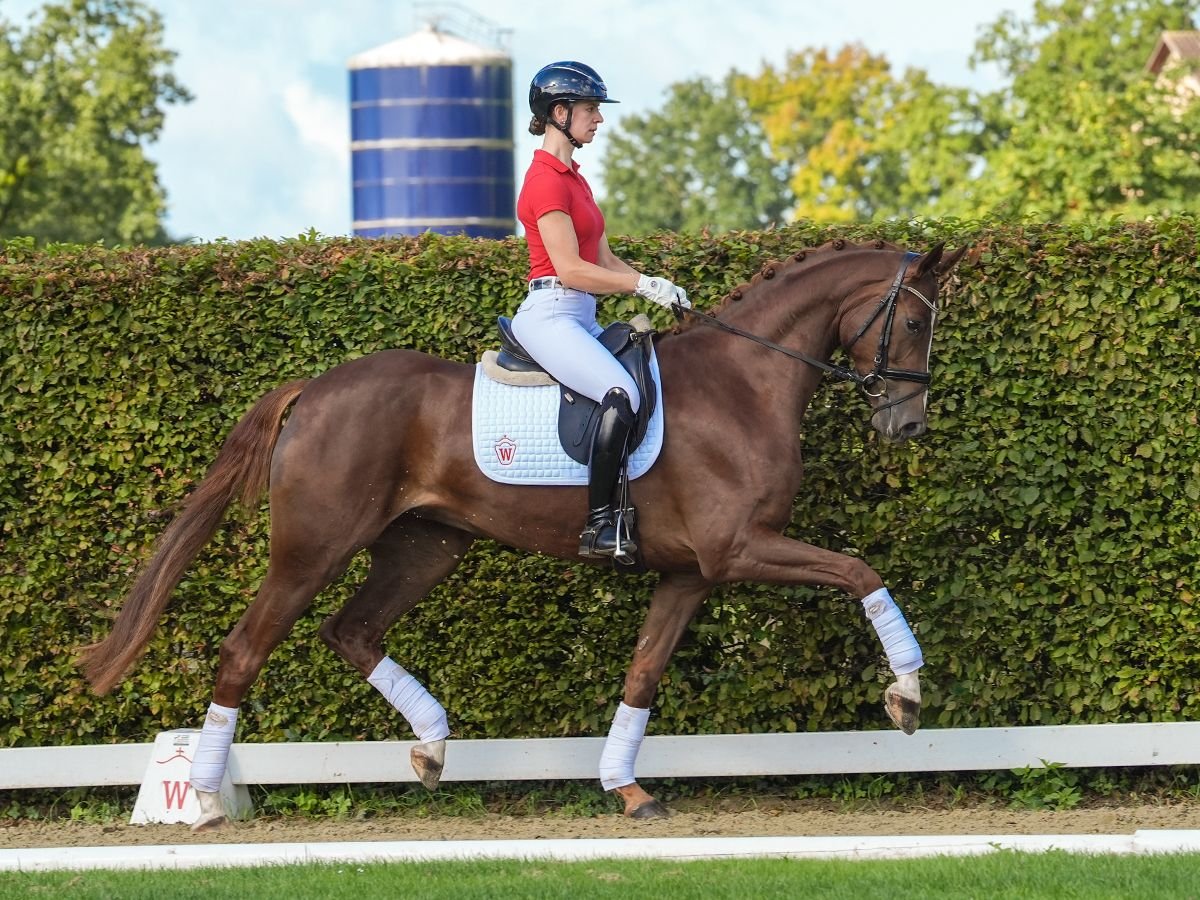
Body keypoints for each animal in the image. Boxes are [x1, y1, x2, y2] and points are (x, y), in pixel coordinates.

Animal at [79, 237, 964, 830]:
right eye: (914, 324)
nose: (909, 425)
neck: (744, 383)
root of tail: (317, 388)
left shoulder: (690, 573)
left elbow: (643, 674)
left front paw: (625, 788)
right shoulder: (738, 550)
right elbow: (860, 571)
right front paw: (906, 695)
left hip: (426, 546)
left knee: (352, 631)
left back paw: (433, 748)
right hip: (313, 549)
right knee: (245, 649)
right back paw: (201, 796)